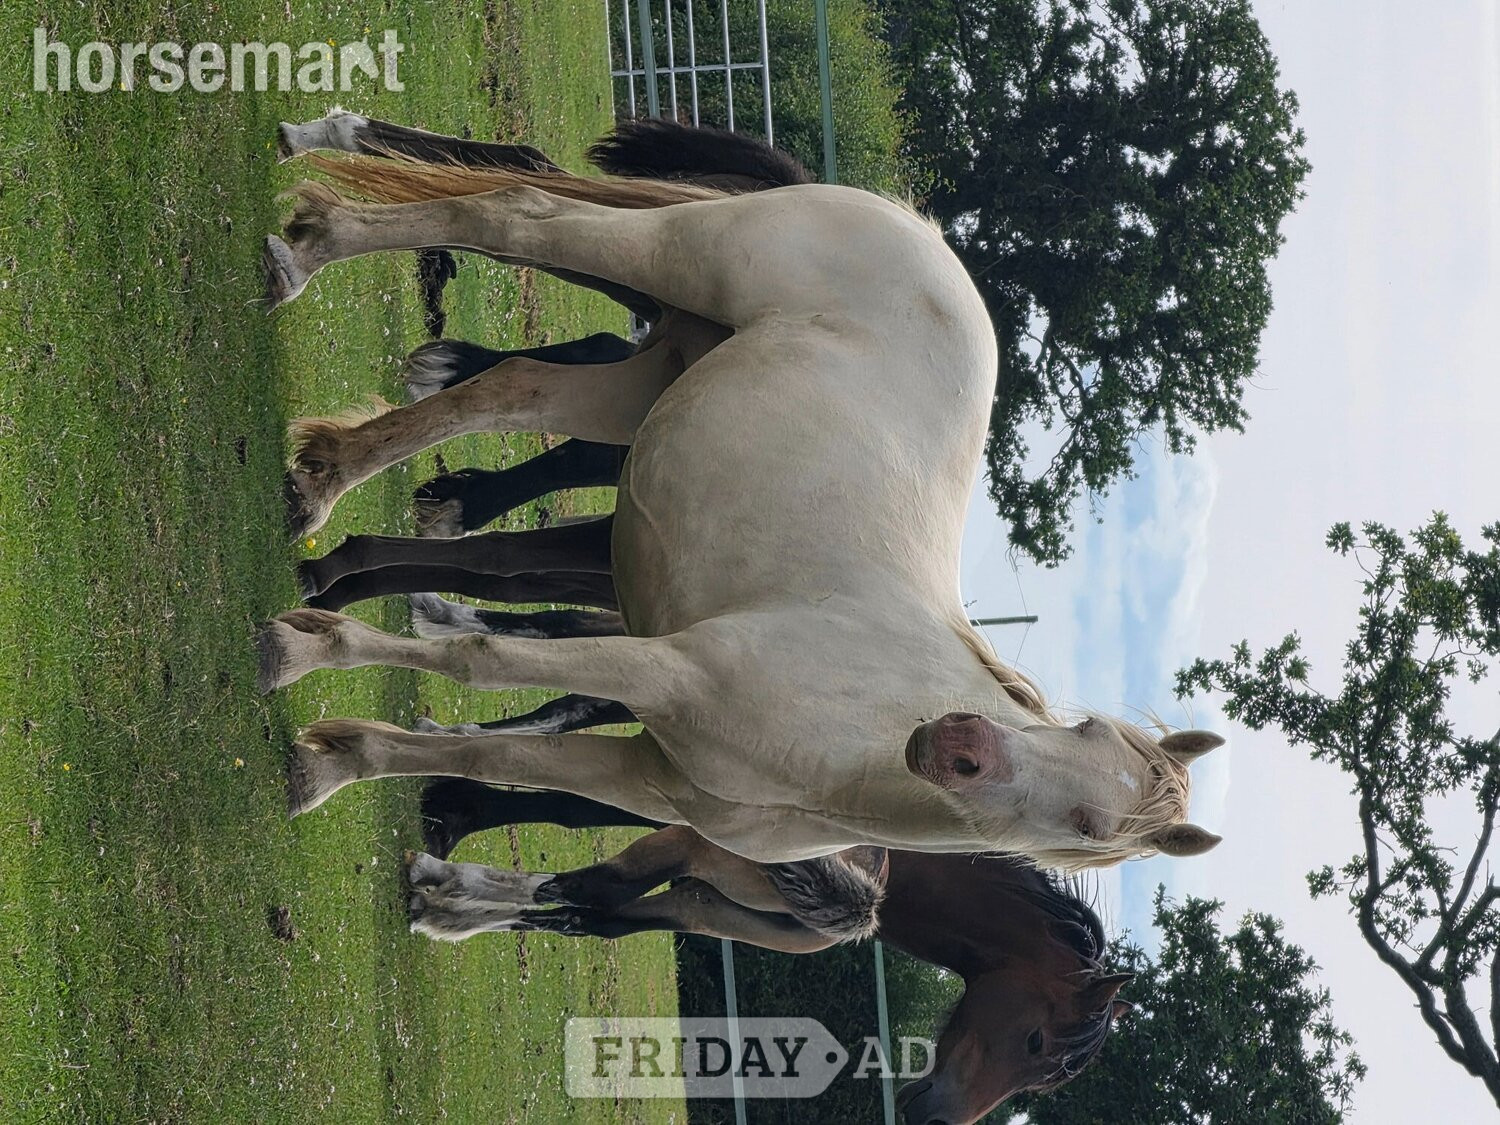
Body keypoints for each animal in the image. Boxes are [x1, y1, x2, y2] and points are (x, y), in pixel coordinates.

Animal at [256, 112, 1224, 867]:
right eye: (1076, 729)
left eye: (1092, 824)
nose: (960, 745)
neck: (847, 751)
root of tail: (915, 227)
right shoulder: (664, 666)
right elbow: (479, 657)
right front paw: (302, 652)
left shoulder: (644, 777)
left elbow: (496, 759)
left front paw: (331, 763)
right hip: (674, 255)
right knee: (516, 211)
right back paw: (312, 246)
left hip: (643, 378)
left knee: (511, 388)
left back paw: (325, 475)